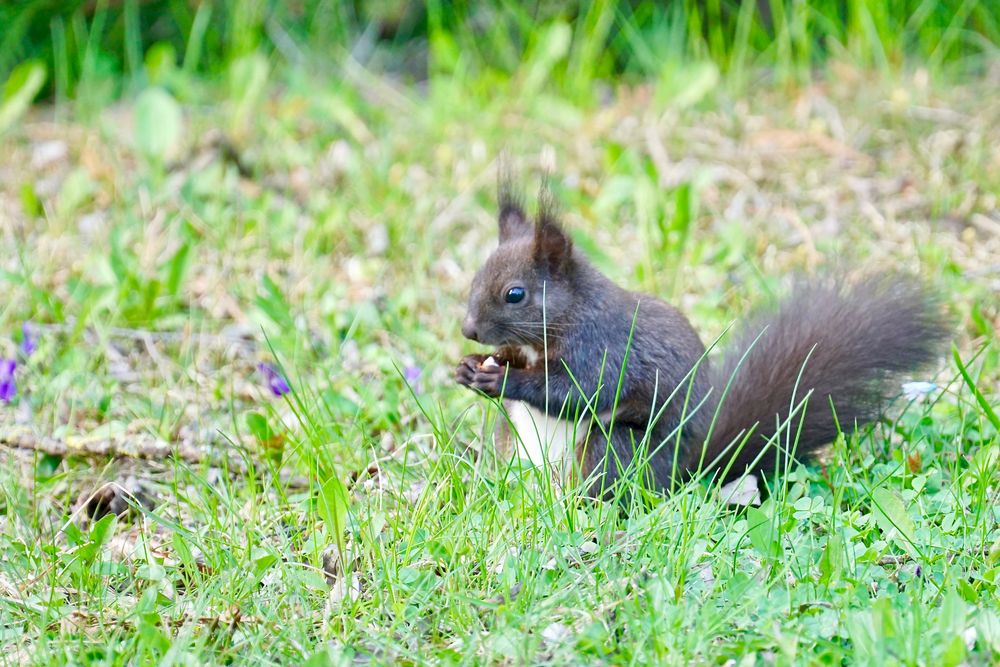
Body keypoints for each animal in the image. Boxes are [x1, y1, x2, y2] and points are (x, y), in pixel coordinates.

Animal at [456, 177, 952, 496]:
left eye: (515, 294)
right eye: (476, 276)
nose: (468, 330)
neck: (565, 317)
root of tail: (691, 469)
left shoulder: (602, 348)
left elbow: (578, 391)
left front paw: (502, 380)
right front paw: (472, 368)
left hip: (616, 449)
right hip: (509, 440)